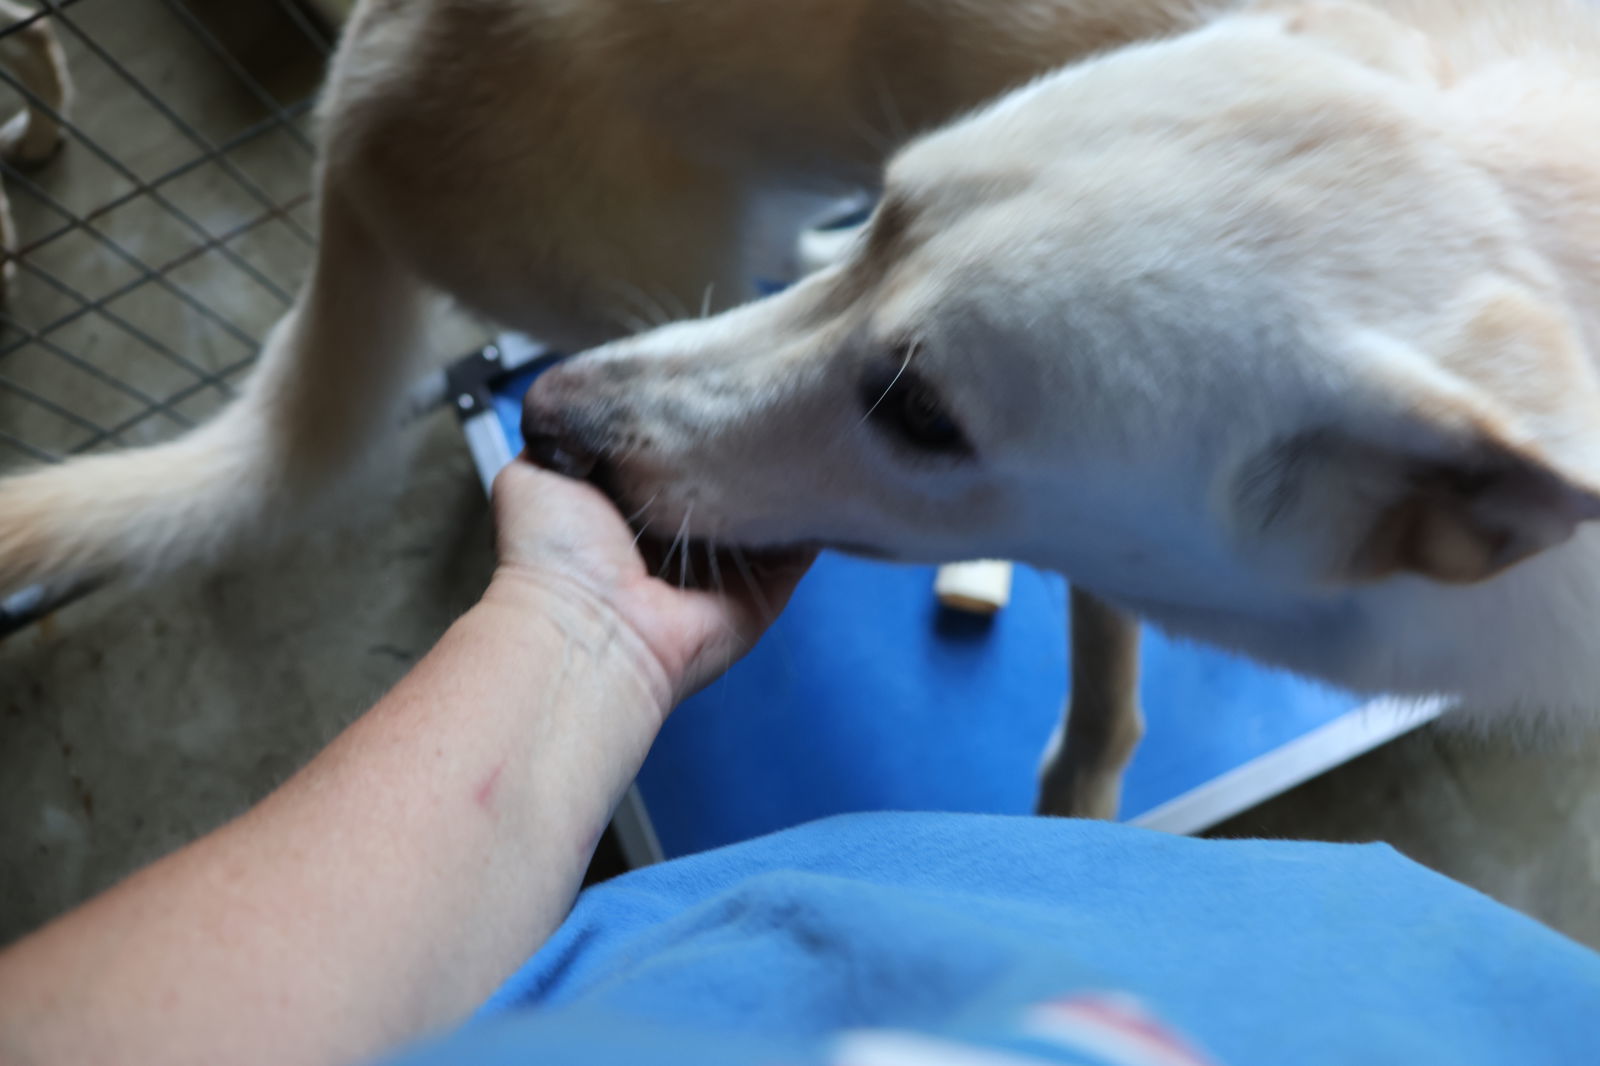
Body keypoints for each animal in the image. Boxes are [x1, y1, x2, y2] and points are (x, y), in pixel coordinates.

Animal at [3, 2, 1600, 813]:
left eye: (922, 411)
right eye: (895, 200)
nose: (557, 423)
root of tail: (348, 100)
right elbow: (1104, 692)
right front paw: (1079, 797)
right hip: (661, 261)